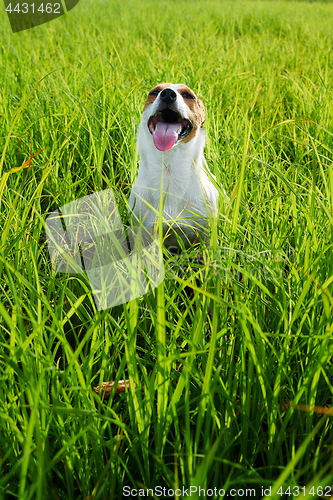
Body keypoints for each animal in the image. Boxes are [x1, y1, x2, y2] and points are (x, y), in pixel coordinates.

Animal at [129, 84, 220, 254]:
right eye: (154, 92)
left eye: (188, 95)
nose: (167, 94)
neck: (170, 166)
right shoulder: (143, 231)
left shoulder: (206, 234)